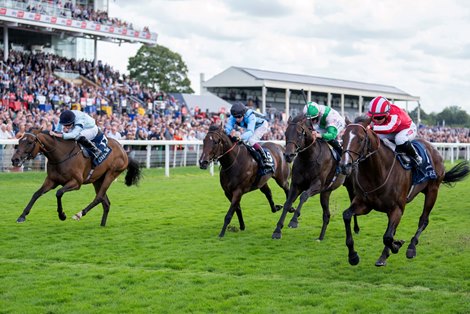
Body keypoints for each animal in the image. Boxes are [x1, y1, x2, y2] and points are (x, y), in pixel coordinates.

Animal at [11, 127, 141, 226]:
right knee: (106, 203)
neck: (61, 155)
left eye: (30, 142)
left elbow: (59, 193)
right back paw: (102, 225)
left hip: (111, 174)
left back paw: (79, 214)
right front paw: (22, 216)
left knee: (99, 197)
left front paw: (62, 215)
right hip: (97, 180)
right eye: (19, 141)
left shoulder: (76, 183)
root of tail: (124, 151)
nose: (14, 160)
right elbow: (36, 194)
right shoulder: (51, 181)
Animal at [340, 116, 468, 266]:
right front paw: (353, 255)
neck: (377, 173)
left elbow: (388, 237)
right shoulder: (364, 204)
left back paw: (411, 247)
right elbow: (347, 215)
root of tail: (433, 148)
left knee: (423, 220)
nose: (344, 166)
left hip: (433, 191)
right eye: (342, 137)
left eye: (360, 139)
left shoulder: (397, 208)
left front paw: (397, 246)